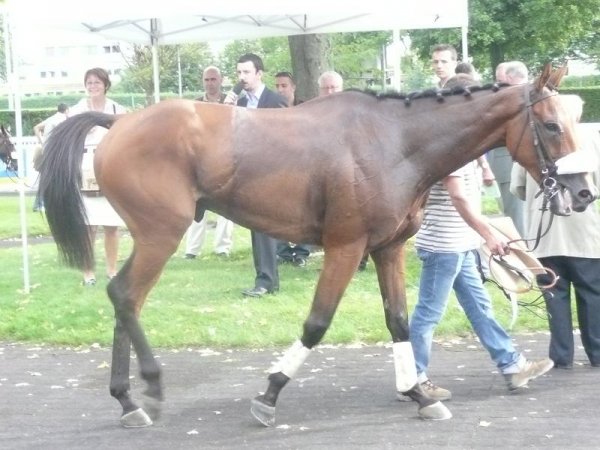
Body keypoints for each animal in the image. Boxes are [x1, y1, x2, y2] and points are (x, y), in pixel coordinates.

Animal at [38, 66, 596, 428]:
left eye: (572, 121)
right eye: (552, 125)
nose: (582, 192)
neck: (395, 142)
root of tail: (119, 122)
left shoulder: (387, 248)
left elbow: (399, 320)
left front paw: (418, 392)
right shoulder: (346, 246)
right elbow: (317, 322)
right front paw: (269, 393)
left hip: (153, 235)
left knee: (122, 297)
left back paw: (126, 398)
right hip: (161, 233)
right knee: (126, 296)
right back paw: (147, 391)